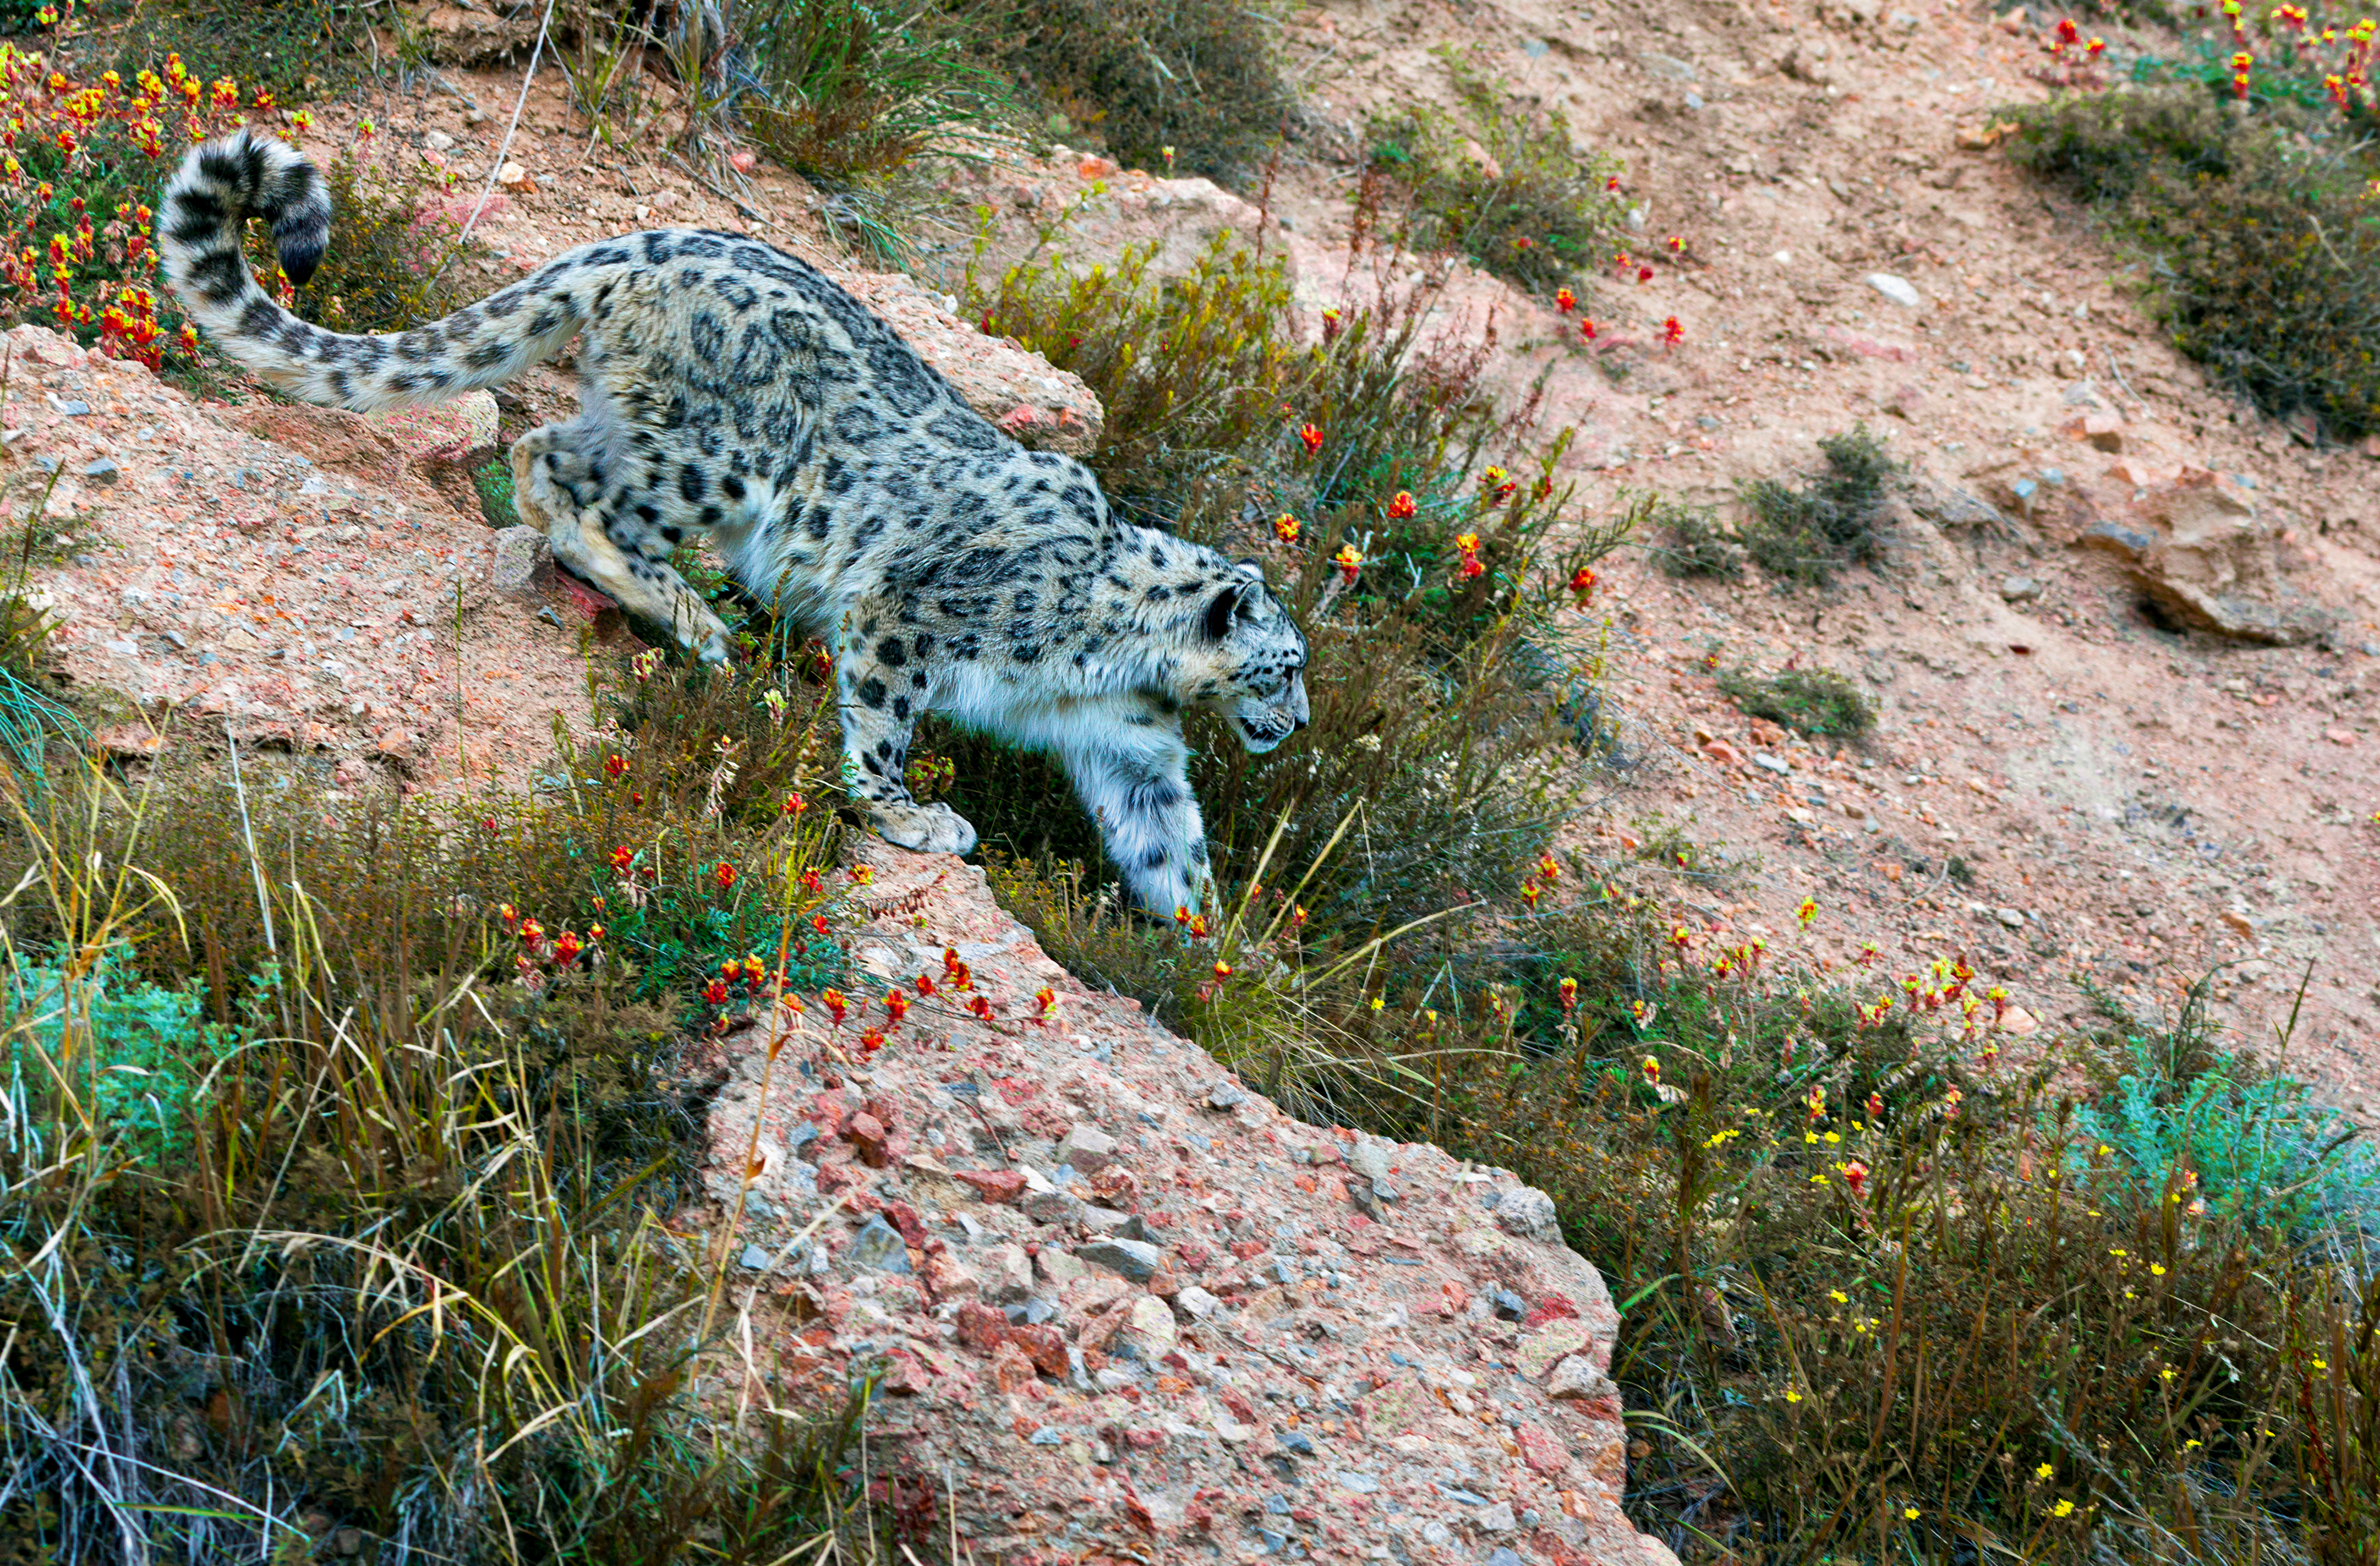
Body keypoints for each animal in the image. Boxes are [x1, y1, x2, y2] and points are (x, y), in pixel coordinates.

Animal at [159, 128, 1308, 916]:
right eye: (1285, 666)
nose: (1295, 726)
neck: (1116, 656)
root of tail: (636, 243)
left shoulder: (1130, 743)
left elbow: (1169, 840)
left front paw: (1211, 954)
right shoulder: (906, 616)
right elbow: (883, 723)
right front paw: (910, 816)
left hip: (648, 422)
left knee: (545, 454)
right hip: (725, 456)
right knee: (566, 481)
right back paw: (700, 627)